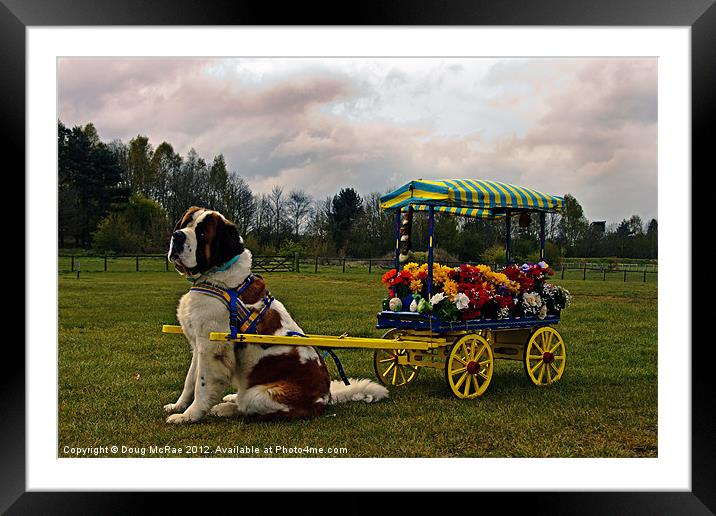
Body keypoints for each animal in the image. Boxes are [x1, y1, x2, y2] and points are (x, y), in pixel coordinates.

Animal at [165, 206, 388, 424]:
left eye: (202, 233)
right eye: (186, 223)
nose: (177, 235)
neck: (217, 278)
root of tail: (326, 398)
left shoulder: (212, 348)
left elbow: (201, 386)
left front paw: (189, 416)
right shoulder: (198, 345)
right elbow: (190, 380)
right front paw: (178, 406)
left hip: (258, 395)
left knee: (246, 407)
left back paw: (225, 407)